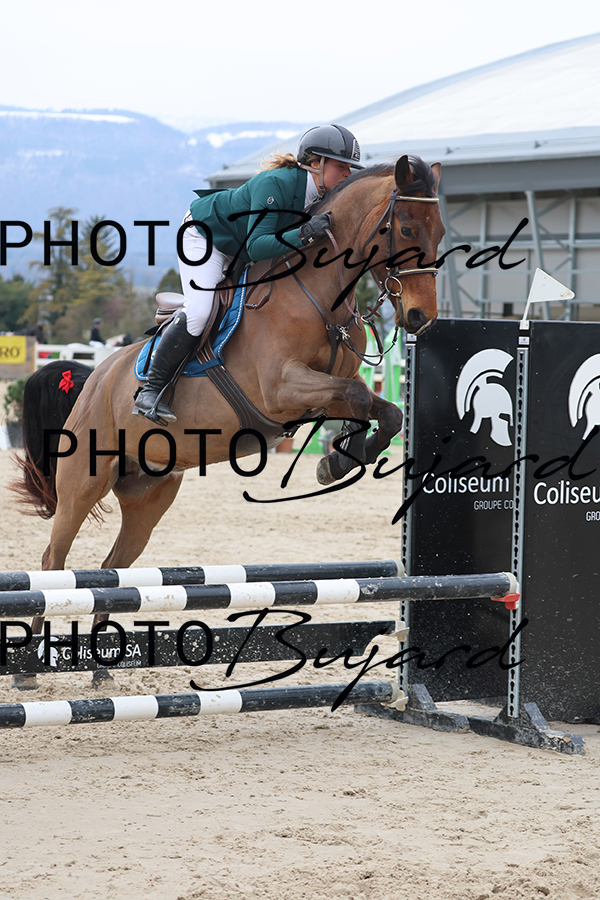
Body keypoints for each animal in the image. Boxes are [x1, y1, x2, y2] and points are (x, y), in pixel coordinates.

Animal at [11, 155, 445, 689]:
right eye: (405, 227)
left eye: (440, 230)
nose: (422, 317)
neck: (319, 293)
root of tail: (95, 377)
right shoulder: (282, 389)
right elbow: (358, 395)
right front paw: (340, 459)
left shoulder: (322, 389)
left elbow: (382, 409)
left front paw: (340, 459)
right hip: (83, 482)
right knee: (54, 563)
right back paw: (26, 673)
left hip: (149, 498)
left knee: (113, 570)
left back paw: (100, 671)